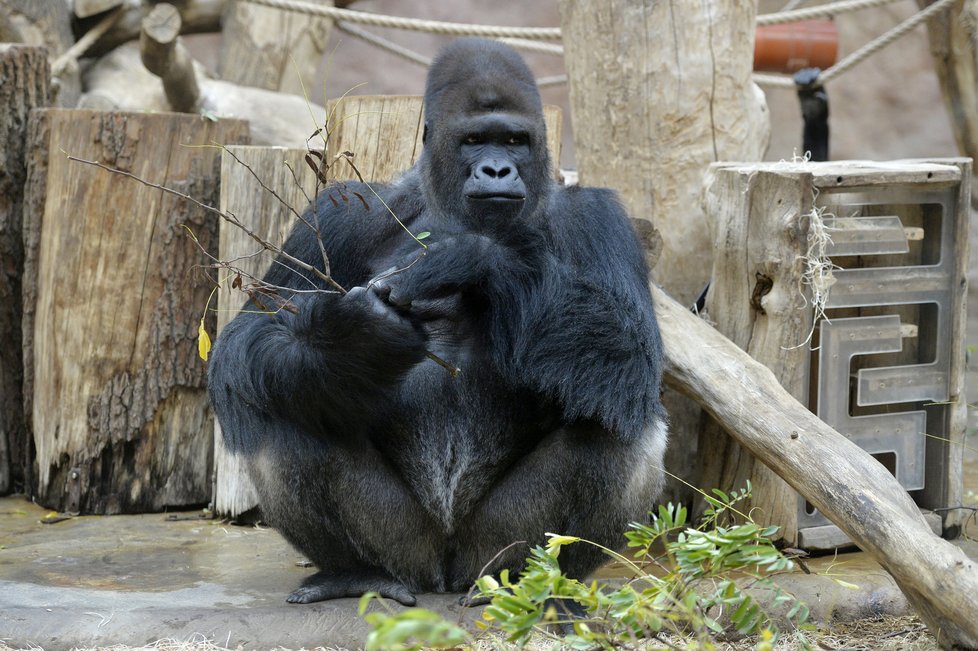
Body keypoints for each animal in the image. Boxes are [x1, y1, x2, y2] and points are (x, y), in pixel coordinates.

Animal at [205, 37, 664, 608]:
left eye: (514, 140)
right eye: (474, 140)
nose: (496, 171)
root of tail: (446, 574)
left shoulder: (600, 218)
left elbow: (631, 355)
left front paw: (470, 257)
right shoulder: (341, 211)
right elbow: (254, 332)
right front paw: (349, 342)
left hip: (492, 549)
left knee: (619, 422)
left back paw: (542, 585)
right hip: (406, 548)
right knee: (285, 398)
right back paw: (354, 572)